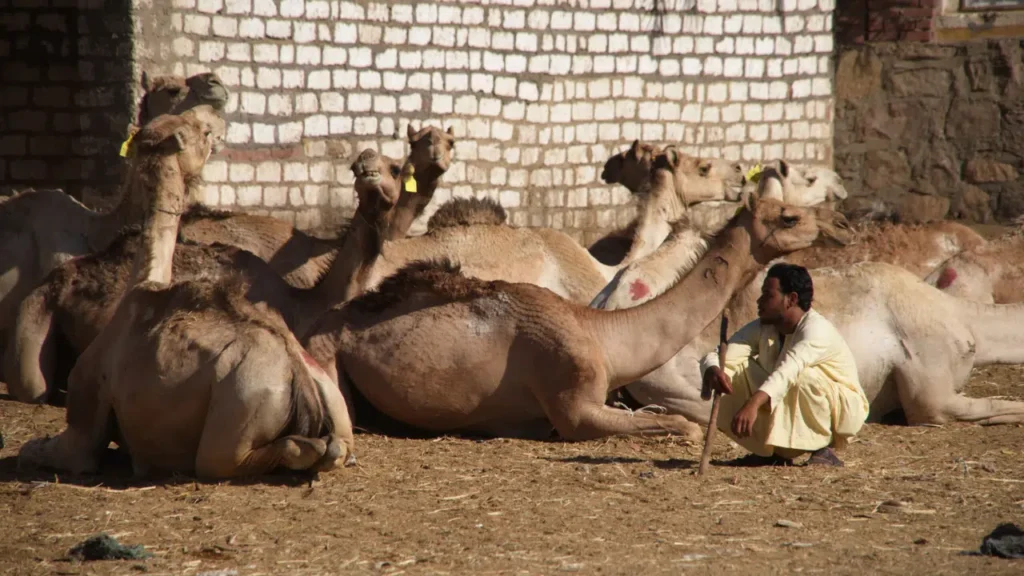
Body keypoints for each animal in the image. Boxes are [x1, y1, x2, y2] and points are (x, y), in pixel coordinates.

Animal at [5, 149, 400, 404]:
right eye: (355, 169)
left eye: (396, 167)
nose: (368, 168)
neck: (304, 302)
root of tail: (53, 283)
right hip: (34, 319)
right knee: (35, 387)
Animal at [17, 112, 352, 479]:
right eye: (201, 132)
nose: (217, 127)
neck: (141, 285)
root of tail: (299, 375)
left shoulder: (84, 413)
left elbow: (44, 449)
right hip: (331, 400)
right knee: (336, 447)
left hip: (238, 412)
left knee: (235, 457)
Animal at [301, 194, 853, 441]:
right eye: (788, 215)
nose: (841, 223)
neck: (601, 331)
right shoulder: (573, 401)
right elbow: (682, 425)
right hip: (325, 356)